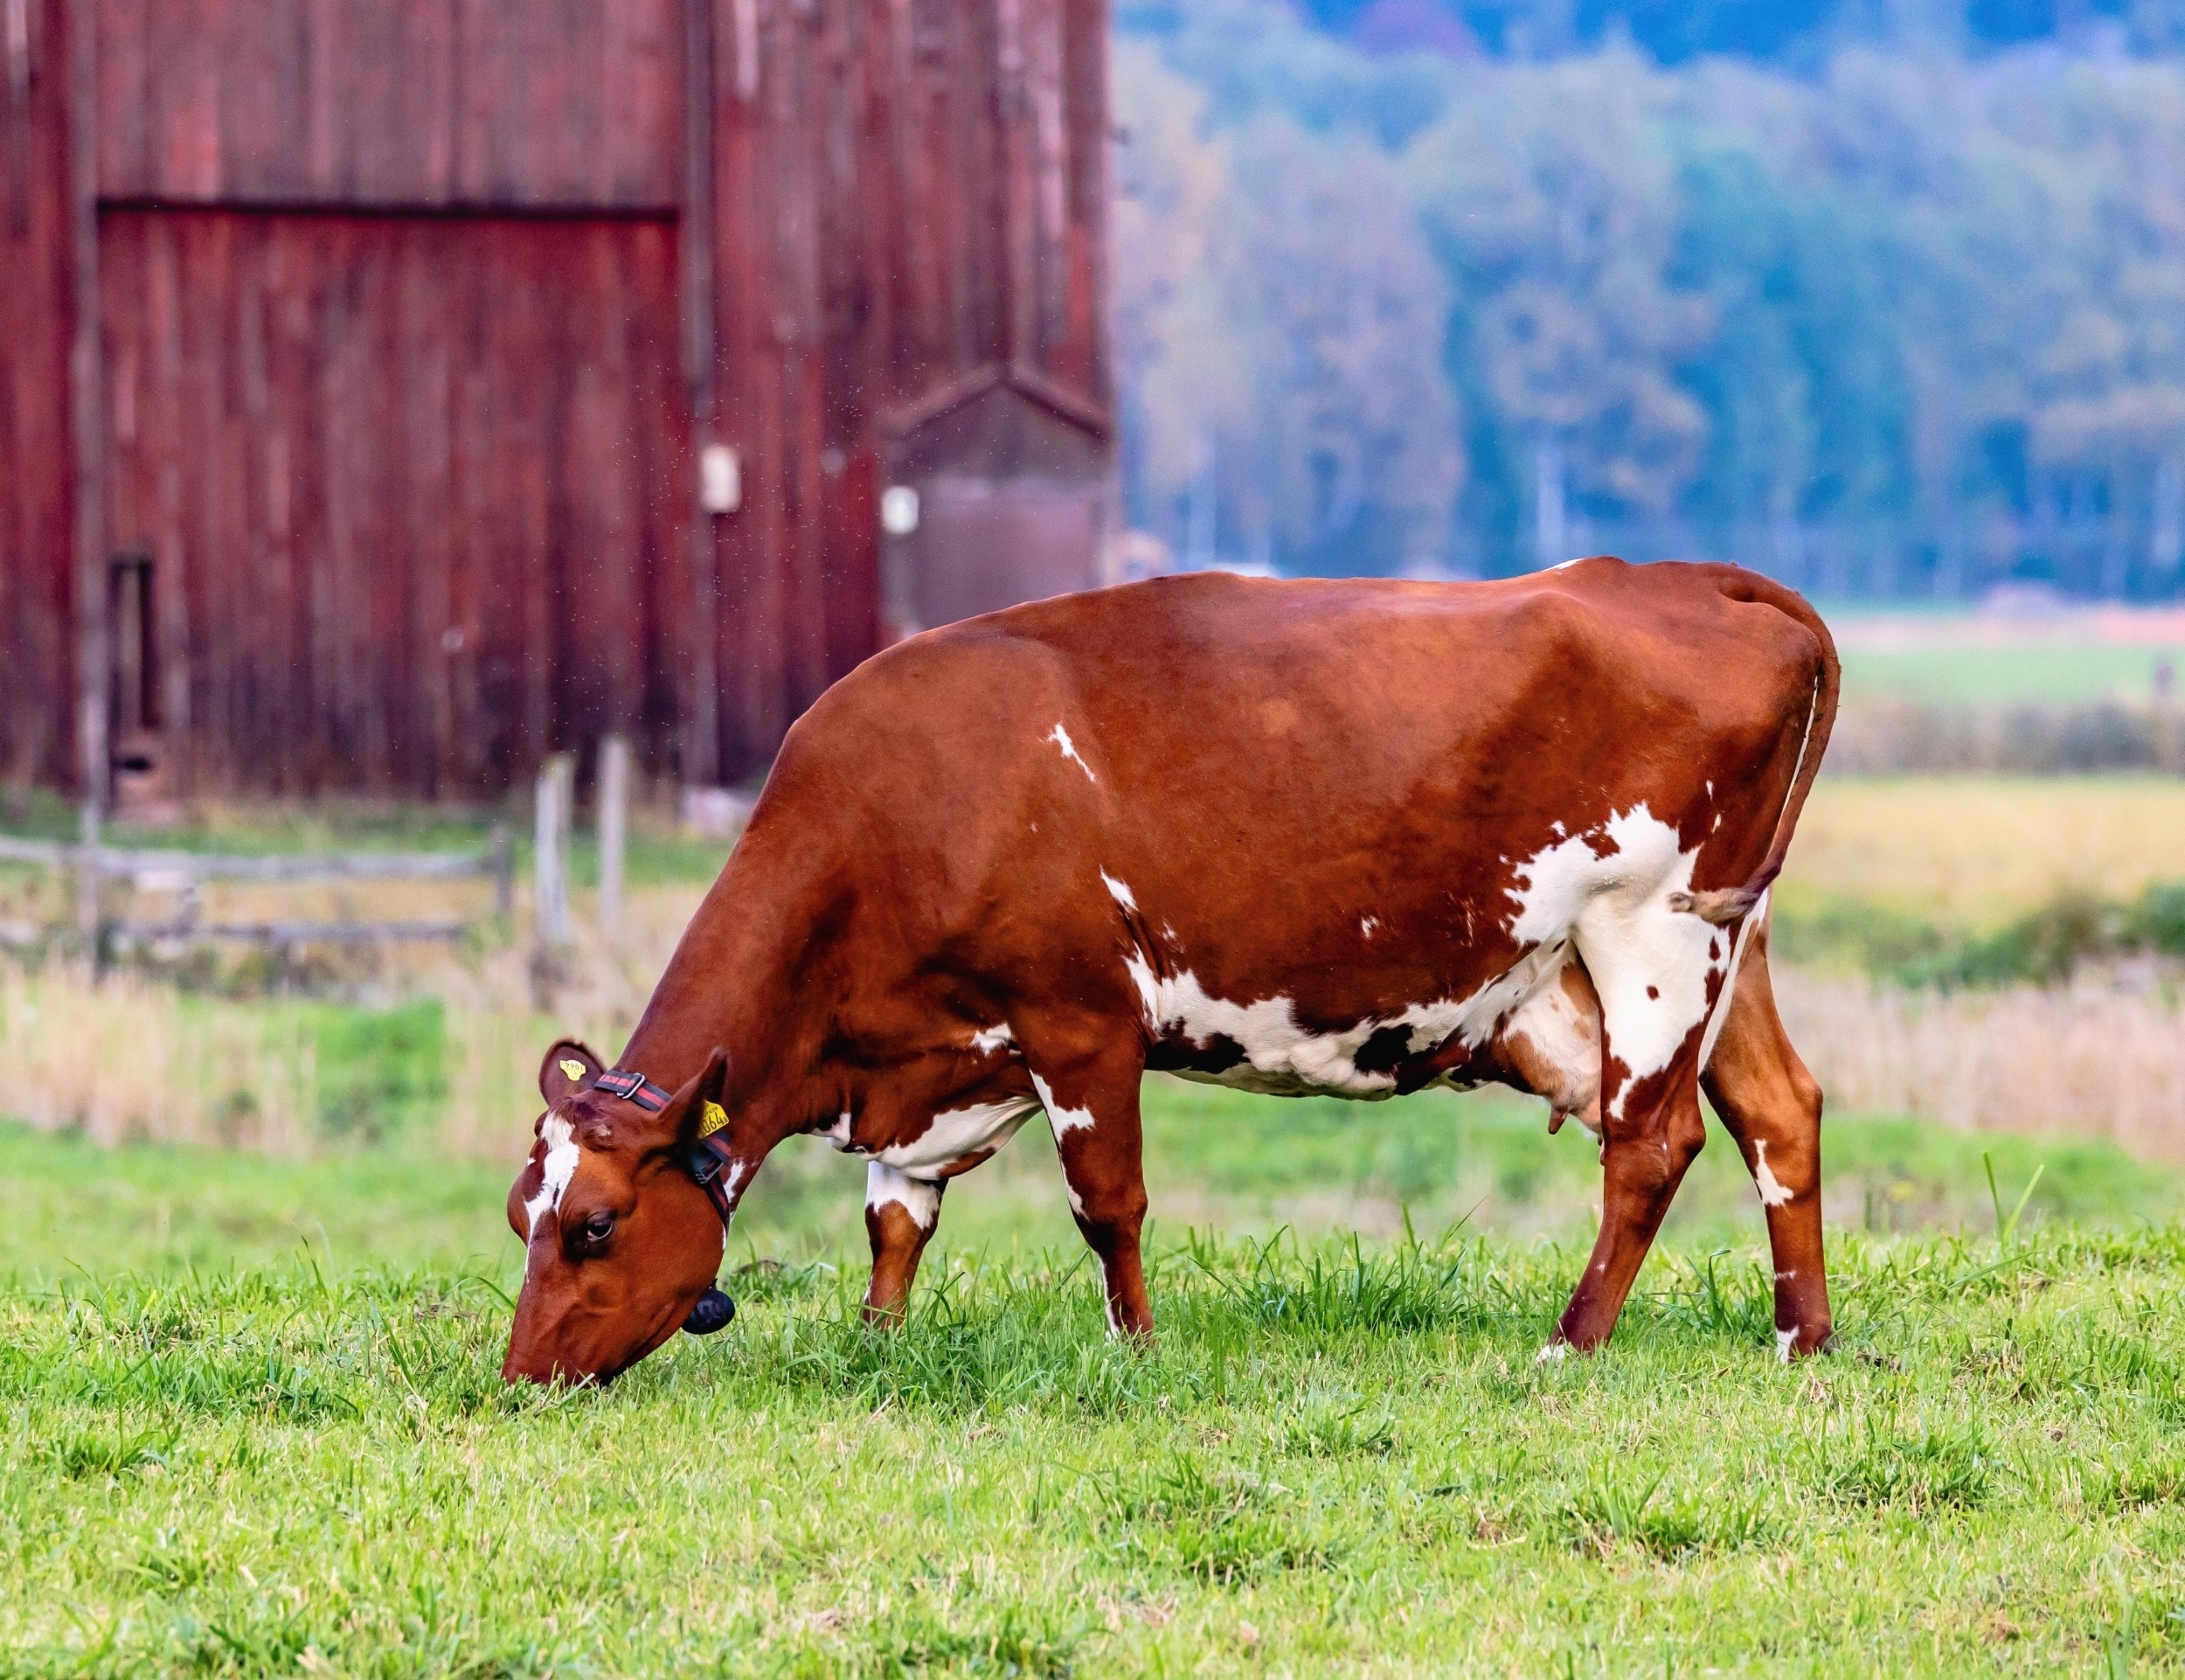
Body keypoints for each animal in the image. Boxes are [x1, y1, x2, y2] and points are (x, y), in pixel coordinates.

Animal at [502, 558, 1839, 1385]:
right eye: (524, 1212)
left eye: (596, 1224)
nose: (521, 1377)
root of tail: (1682, 577)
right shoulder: (935, 1056)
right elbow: (896, 1212)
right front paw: (877, 1343)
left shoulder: (1078, 1018)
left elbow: (1108, 1204)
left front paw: (1137, 1350)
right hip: (1732, 941)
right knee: (1781, 1112)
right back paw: (1802, 1339)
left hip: (1650, 928)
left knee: (1653, 1142)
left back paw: (1569, 1343)